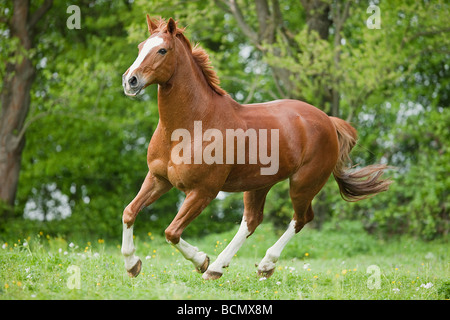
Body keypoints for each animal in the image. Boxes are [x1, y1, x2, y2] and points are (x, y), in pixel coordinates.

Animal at [120, 16, 390, 280]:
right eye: (140, 47)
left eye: (162, 50)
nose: (130, 81)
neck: (189, 127)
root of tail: (328, 120)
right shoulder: (158, 179)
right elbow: (129, 212)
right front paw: (133, 265)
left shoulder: (203, 191)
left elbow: (172, 232)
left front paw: (201, 260)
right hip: (259, 184)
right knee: (252, 221)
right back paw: (219, 268)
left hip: (303, 183)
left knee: (301, 218)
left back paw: (260, 265)